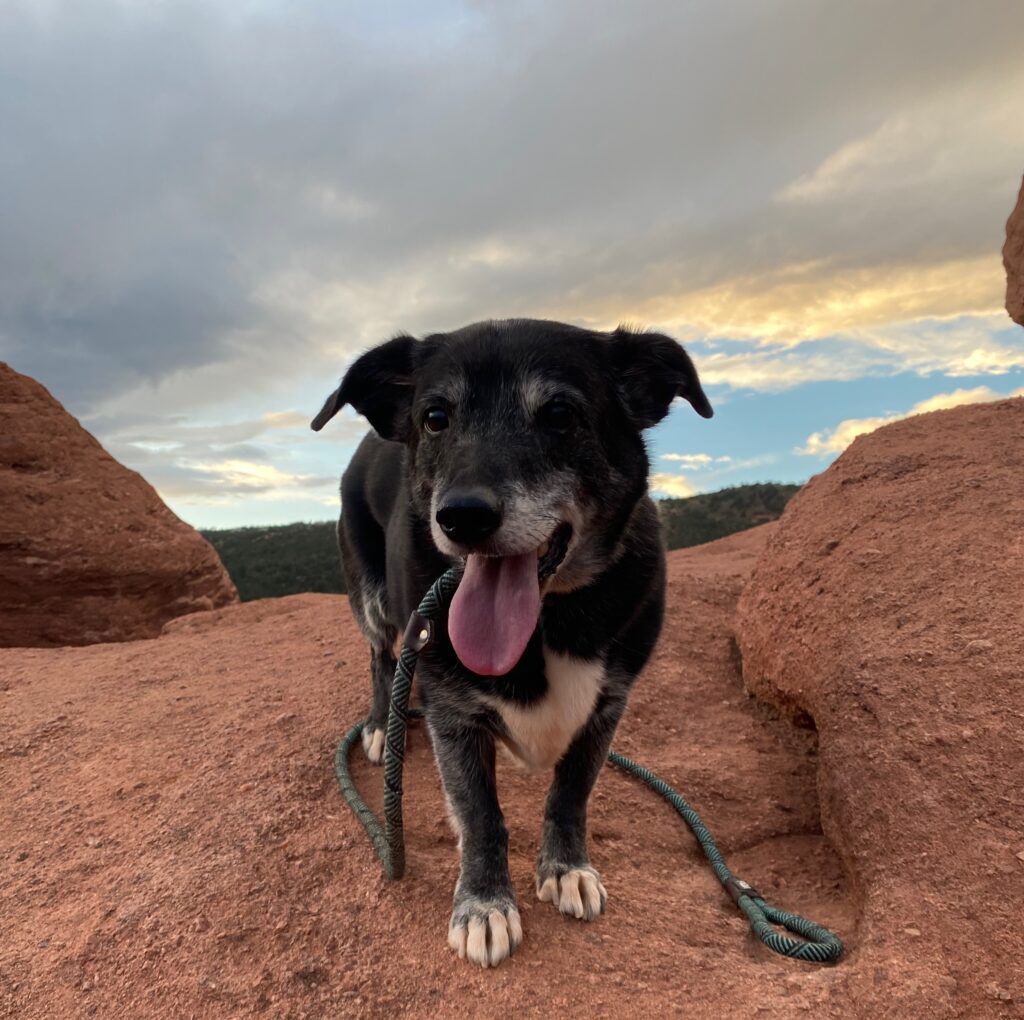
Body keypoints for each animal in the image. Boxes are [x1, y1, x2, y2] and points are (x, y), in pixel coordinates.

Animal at [313, 323, 712, 966]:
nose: (461, 517)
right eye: (435, 417)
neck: (550, 615)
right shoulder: (454, 715)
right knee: (380, 656)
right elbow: (481, 816)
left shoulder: (607, 707)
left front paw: (567, 868)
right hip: (369, 595)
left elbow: (570, 794)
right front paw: (483, 905)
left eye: (559, 413)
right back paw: (379, 724)